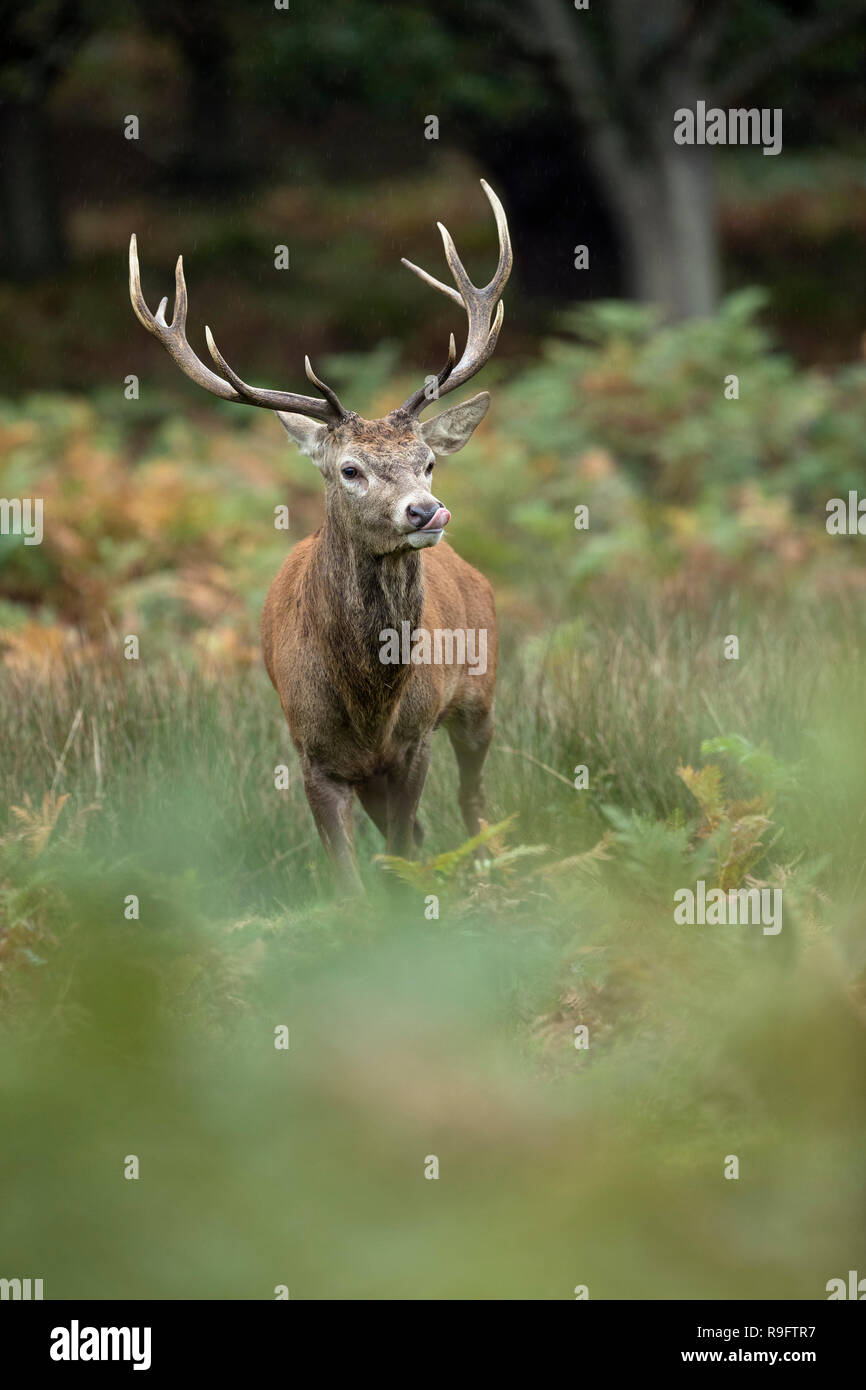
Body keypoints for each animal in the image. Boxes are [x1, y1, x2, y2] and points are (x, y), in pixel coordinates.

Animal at [129, 180, 512, 894]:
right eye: (349, 469)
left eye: (428, 461)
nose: (427, 512)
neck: (369, 705)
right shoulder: (312, 755)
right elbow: (350, 881)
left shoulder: (413, 741)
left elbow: (401, 853)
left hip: (481, 692)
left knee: (472, 799)